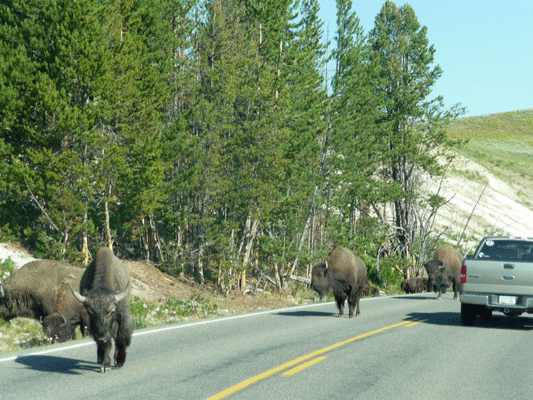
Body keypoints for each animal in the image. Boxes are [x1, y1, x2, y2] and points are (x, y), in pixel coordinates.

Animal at [69, 245, 132, 374]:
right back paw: (100, 358)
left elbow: (121, 336)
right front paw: (105, 365)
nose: (101, 337)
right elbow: (106, 344)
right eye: (90, 312)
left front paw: (119, 360)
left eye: (112, 311)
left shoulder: (122, 315)